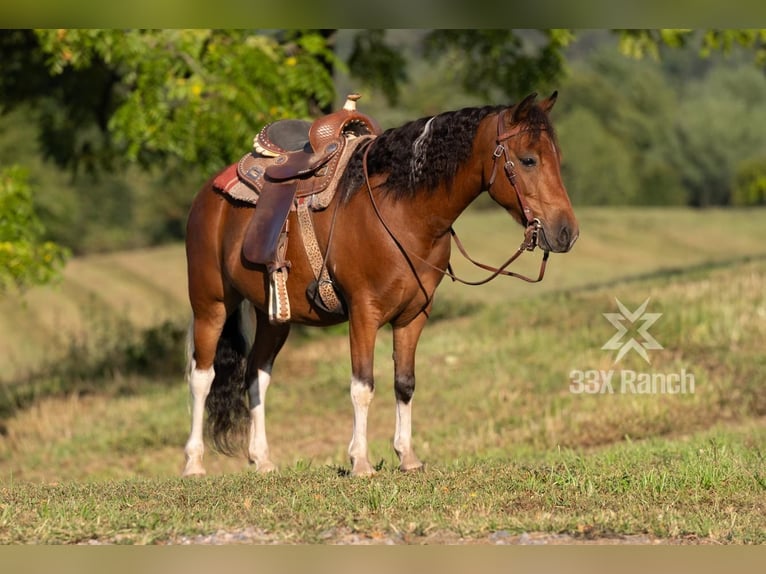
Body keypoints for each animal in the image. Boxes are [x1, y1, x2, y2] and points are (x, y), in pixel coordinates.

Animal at [184, 92, 584, 480]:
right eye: (528, 160)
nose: (566, 232)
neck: (401, 211)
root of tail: (209, 193)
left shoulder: (414, 315)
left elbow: (404, 383)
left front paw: (407, 456)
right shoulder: (364, 313)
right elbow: (362, 386)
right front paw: (360, 461)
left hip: (274, 316)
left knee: (256, 375)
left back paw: (262, 460)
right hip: (211, 304)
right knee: (202, 377)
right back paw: (194, 464)